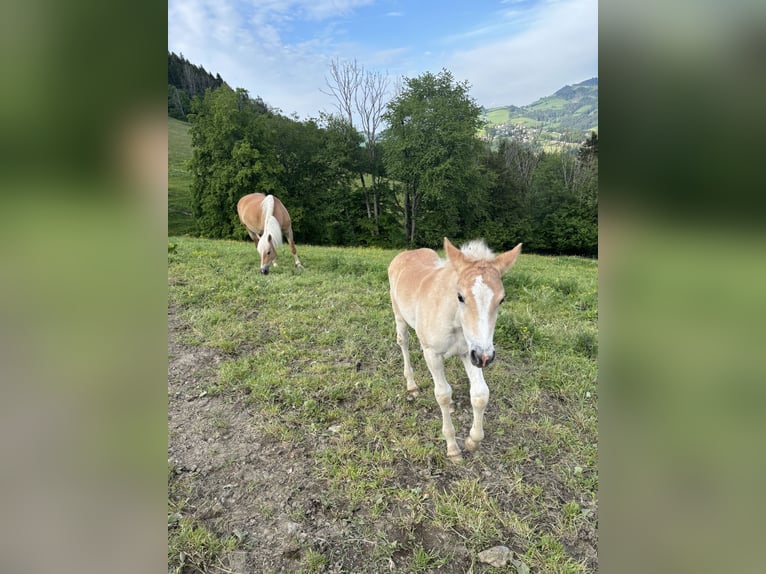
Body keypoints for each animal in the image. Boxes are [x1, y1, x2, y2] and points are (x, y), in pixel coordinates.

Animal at [390, 236, 520, 462]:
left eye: (501, 299)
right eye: (460, 296)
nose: (486, 357)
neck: (455, 320)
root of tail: (404, 253)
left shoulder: (470, 352)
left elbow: (480, 394)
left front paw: (472, 441)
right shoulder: (432, 353)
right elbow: (442, 393)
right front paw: (452, 448)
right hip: (399, 315)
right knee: (403, 342)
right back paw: (412, 385)